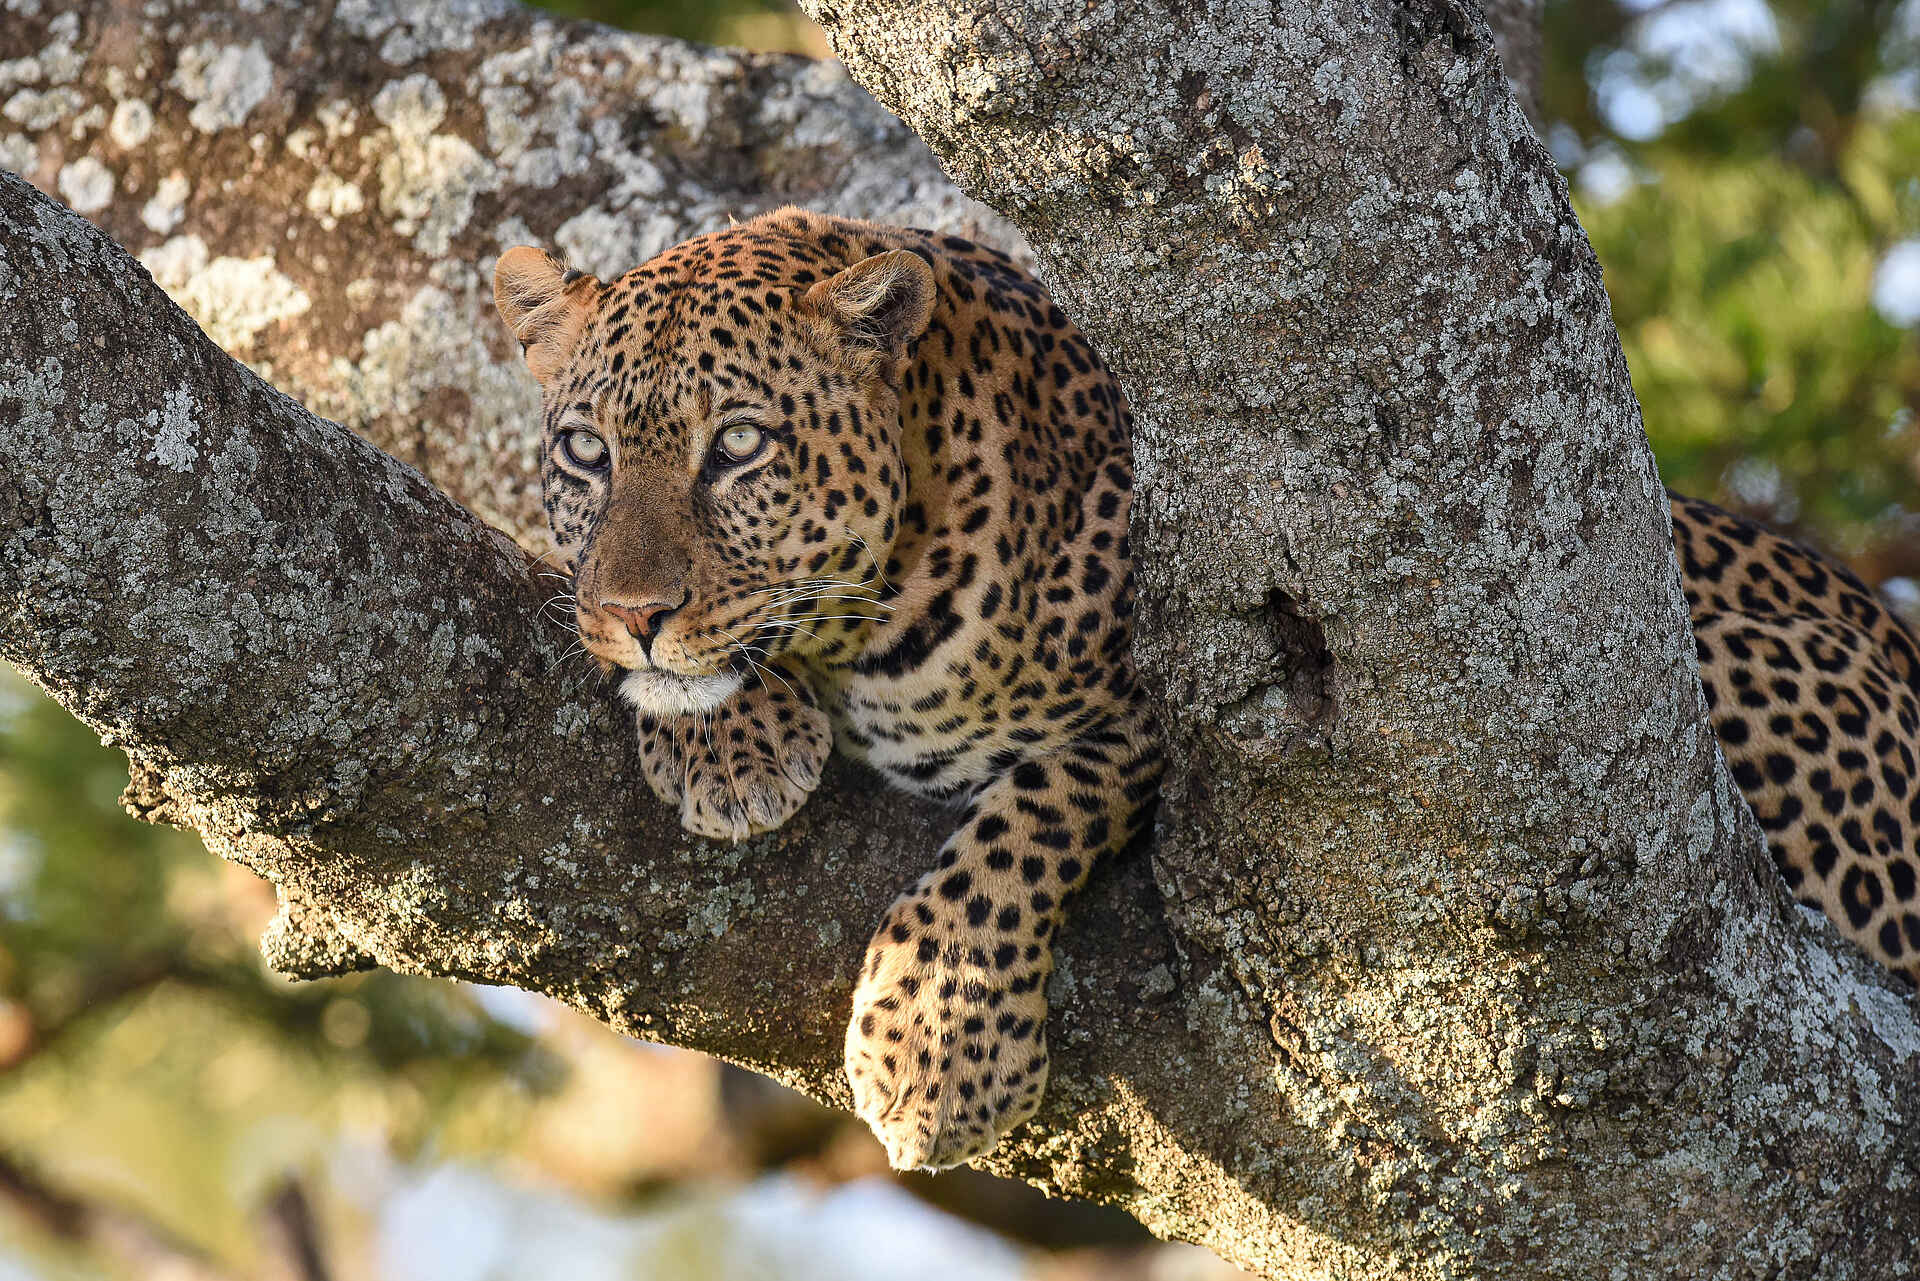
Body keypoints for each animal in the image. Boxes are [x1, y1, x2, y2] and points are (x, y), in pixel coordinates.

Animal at [492, 208, 1917, 1172]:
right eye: (586, 454)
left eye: (740, 447)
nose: (633, 617)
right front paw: (727, 741)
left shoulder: (1188, 700)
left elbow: (1029, 817)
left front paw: (938, 1048)